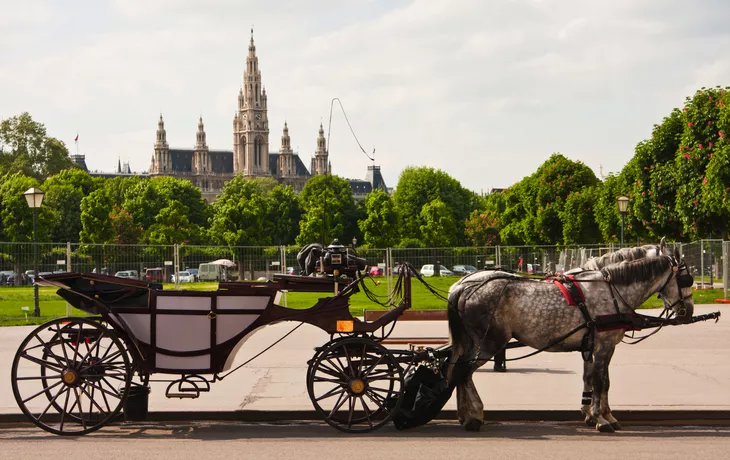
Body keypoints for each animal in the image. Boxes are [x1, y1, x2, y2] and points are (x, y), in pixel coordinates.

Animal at [446, 244, 692, 432]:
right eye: (686, 280)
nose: (687, 311)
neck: (611, 289)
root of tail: (464, 287)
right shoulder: (604, 346)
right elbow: (601, 382)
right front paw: (601, 419)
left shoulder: (592, 347)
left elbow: (593, 379)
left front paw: (596, 414)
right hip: (491, 342)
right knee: (464, 372)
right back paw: (474, 416)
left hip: (475, 342)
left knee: (459, 369)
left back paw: (465, 415)